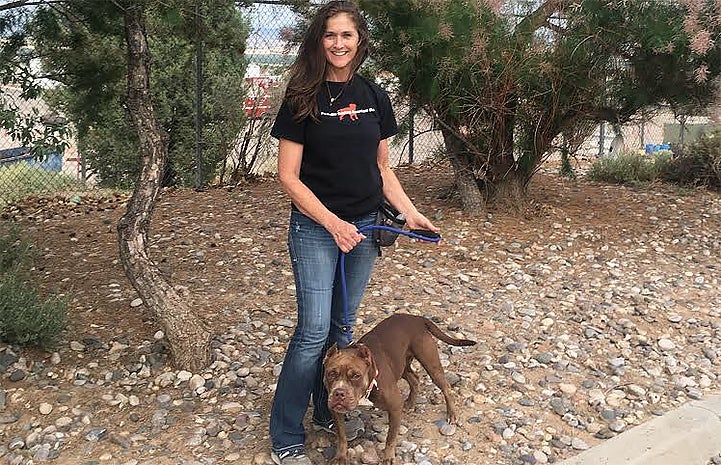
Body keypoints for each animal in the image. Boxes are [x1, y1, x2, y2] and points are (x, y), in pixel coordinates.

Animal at [324, 314, 476, 462]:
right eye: (331, 373)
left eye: (356, 376)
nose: (339, 393)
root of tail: (416, 318)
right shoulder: (335, 411)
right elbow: (341, 435)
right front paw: (340, 456)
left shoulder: (395, 406)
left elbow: (390, 438)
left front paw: (388, 458)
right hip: (401, 365)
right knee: (414, 379)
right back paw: (410, 403)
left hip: (430, 364)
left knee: (446, 387)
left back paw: (452, 414)